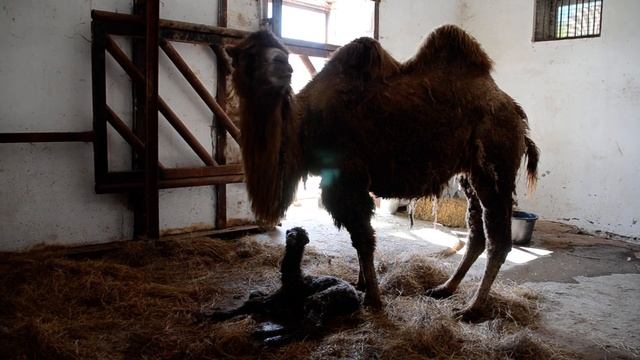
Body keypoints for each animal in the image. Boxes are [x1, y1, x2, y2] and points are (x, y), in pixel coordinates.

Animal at [228, 25, 536, 320]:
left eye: (282, 51)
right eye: (247, 54)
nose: (283, 65)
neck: (305, 125)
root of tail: (516, 112)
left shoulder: (346, 177)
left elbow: (364, 240)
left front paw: (374, 299)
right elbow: (359, 239)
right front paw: (362, 284)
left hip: (496, 164)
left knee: (498, 239)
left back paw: (471, 309)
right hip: (470, 174)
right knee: (476, 234)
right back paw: (444, 288)